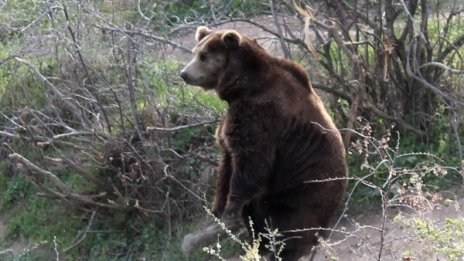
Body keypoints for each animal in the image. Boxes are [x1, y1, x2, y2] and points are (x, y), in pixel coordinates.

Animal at [179, 26, 346, 260]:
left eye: (203, 56)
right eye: (195, 52)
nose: (184, 74)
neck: (242, 87)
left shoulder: (261, 116)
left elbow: (251, 163)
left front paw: (230, 209)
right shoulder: (233, 124)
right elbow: (226, 165)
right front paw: (217, 208)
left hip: (298, 196)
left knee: (287, 226)